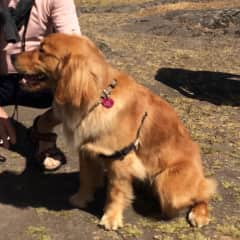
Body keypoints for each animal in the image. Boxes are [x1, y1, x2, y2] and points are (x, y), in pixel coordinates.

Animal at [12, 32, 217, 230]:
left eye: (42, 51)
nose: (12, 55)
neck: (98, 98)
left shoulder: (119, 159)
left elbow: (115, 193)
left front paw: (111, 218)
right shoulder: (87, 149)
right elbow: (85, 178)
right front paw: (81, 199)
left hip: (169, 187)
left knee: (204, 191)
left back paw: (199, 213)